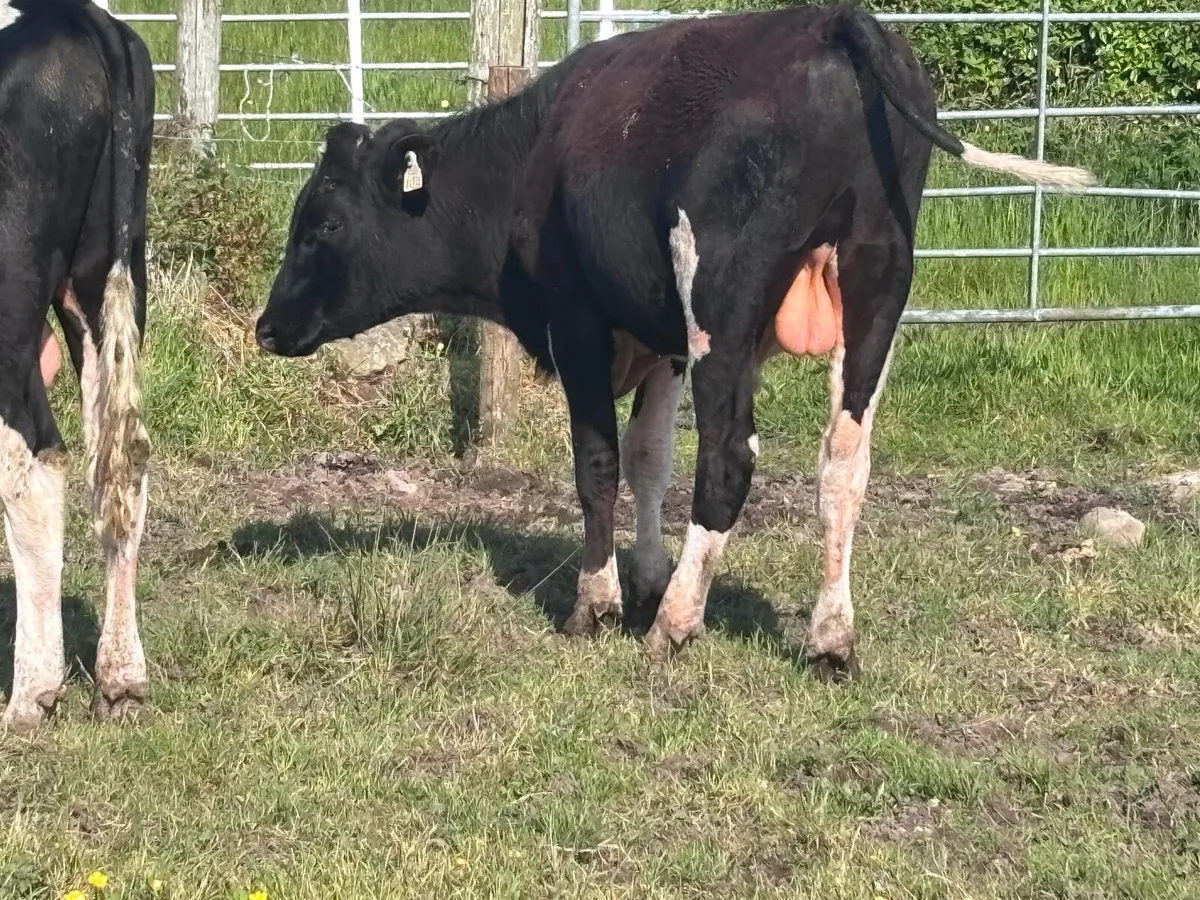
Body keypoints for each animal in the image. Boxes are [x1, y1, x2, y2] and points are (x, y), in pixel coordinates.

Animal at [255, 4, 1092, 676]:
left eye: (324, 223)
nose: (267, 326)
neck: (536, 151)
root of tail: (833, 20)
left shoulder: (581, 321)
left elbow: (598, 463)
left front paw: (597, 604)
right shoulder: (659, 337)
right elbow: (650, 456)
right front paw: (647, 577)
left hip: (722, 297)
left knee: (727, 458)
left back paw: (678, 623)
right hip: (877, 283)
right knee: (843, 462)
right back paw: (828, 638)